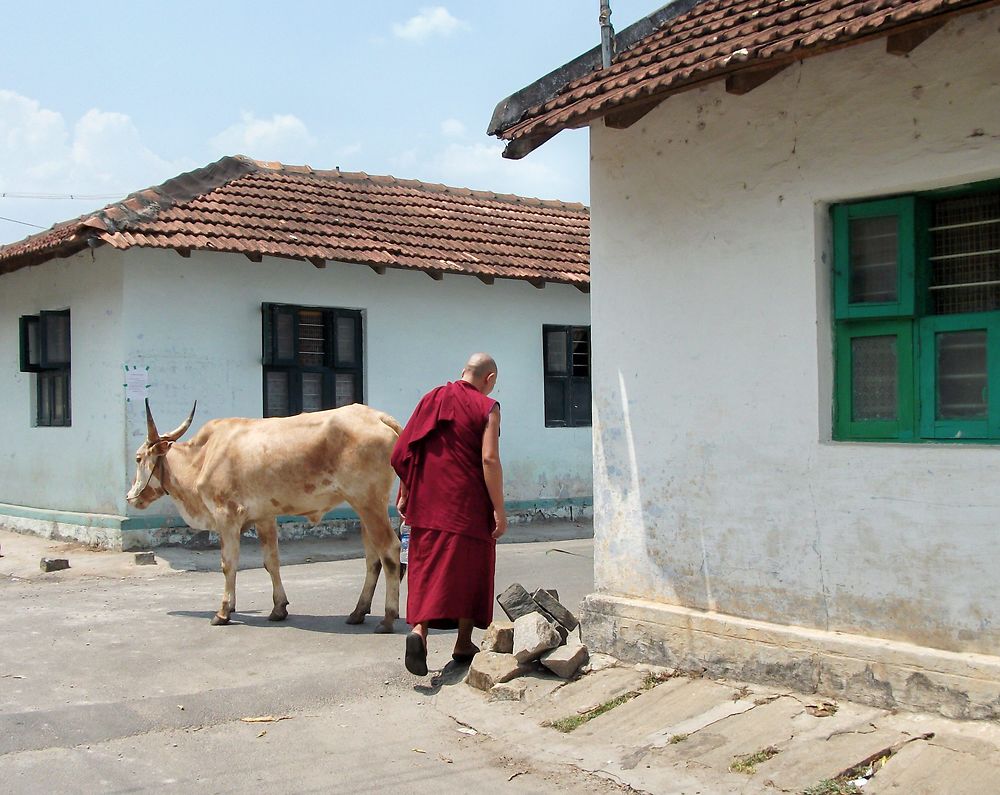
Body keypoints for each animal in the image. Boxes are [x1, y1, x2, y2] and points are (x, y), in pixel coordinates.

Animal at [126, 402, 402, 632]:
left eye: (138, 458)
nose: (130, 497)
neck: (203, 457)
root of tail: (377, 416)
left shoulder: (226, 516)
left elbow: (228, 564)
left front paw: (223, 612)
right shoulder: (264, 517)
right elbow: (271, 562)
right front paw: (279, 608)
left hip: (369, 503)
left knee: (390, 551)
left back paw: (388, 618)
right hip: (364, 508)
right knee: (373, 559)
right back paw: (358, 612)